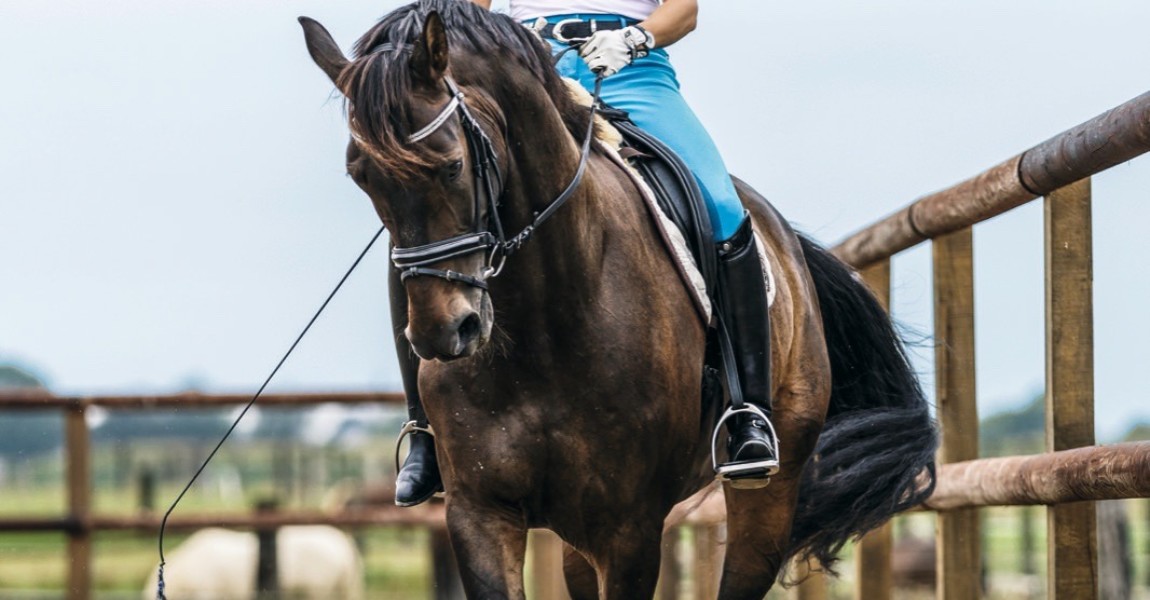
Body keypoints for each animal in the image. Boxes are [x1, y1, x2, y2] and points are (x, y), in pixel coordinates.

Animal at [301, 2, 938, 593]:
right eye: (361, 176)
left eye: (453, 165)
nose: (444, 332)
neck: (540, 330)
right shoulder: (479, 514)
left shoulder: (628, 529)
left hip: (768, 499)